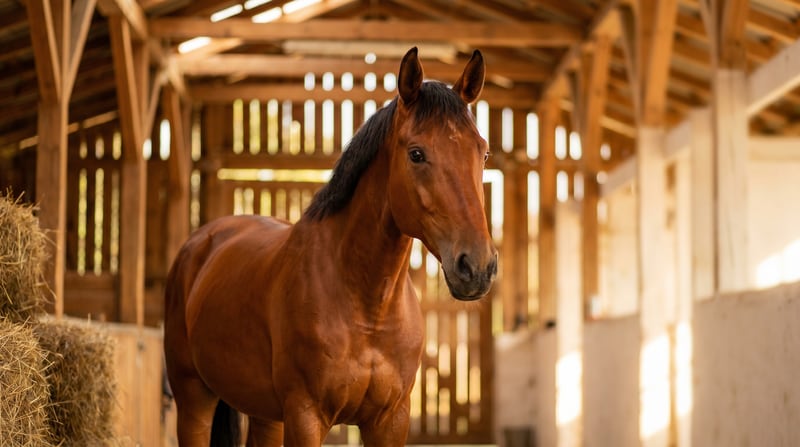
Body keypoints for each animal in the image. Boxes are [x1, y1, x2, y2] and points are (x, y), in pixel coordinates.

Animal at [163, 47, 497, 446]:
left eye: (483, 153)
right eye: (416, 154)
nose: (476, 267)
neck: (367, 309)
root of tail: (202, 242)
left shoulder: (390, 421)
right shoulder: (306, 416)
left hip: (265, 415)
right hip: (194, 401)